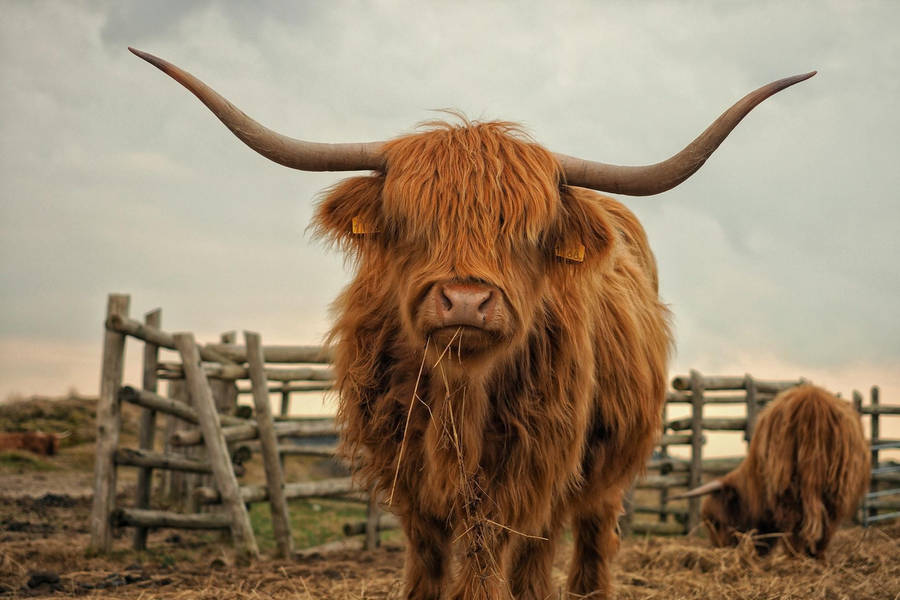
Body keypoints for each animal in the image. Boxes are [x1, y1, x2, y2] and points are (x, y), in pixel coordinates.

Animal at [129, 48, 814, 599]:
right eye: (410, 222)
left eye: (529, 233)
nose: (464, 301)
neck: (460, 396)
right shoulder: (405, 474)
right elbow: (429, 559)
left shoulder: (528, 471)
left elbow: (493, 558)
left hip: (602, 470)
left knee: (579, 543)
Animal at [676, 384, 870, 559]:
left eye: (715, 522)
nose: (720, 550)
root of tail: (812, 401)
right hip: (836, 486)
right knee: (827, 521)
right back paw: (816, 556)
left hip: (787, 483)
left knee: (795, 521)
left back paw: (794, 556)